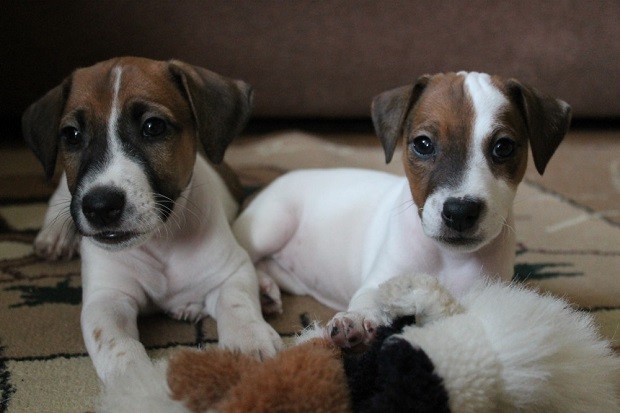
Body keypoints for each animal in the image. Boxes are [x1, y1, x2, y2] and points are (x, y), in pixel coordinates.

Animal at [22, 55, 284, 384]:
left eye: (153, 126)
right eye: (71, 134)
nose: (100, 206)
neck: (161, 242)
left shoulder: (231, 270)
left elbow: (237, 305)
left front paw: (250, 344)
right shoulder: (107, 296)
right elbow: (117, 344)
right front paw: (137, 381)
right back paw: (55, 235)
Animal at [236, 71, 572, 348]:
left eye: (503, 147)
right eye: (423, 144)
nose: (460, 211)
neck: (448, 257)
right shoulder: (382, 278)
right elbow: (369, 298)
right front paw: (356, 320)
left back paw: (265, 290)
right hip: (270, 226)